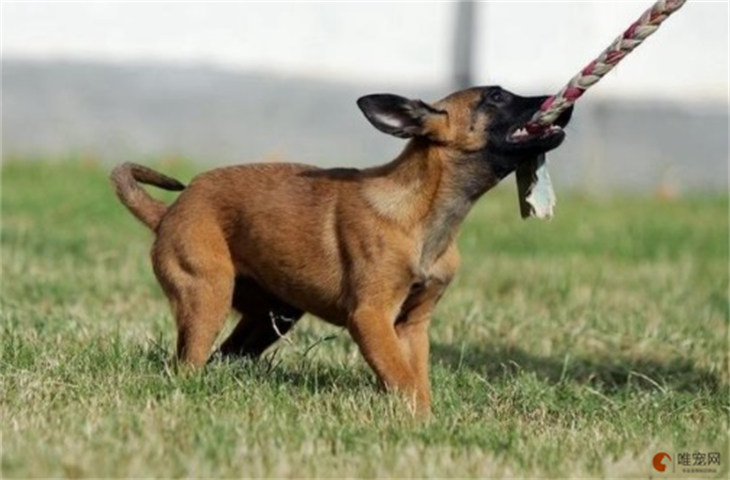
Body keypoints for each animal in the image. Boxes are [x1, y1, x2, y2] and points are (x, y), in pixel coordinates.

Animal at [111, 84, 572, 414]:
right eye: (495, 97)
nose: (561, 106)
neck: (425, 212)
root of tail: (168, 212)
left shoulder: (412, 326)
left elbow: (415, 379)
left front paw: (424, 420)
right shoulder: (370, 318)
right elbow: (402, 379)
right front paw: (417, 422)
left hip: (273, 314)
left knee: (223, 356)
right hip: (207, 294)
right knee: (188, 363)